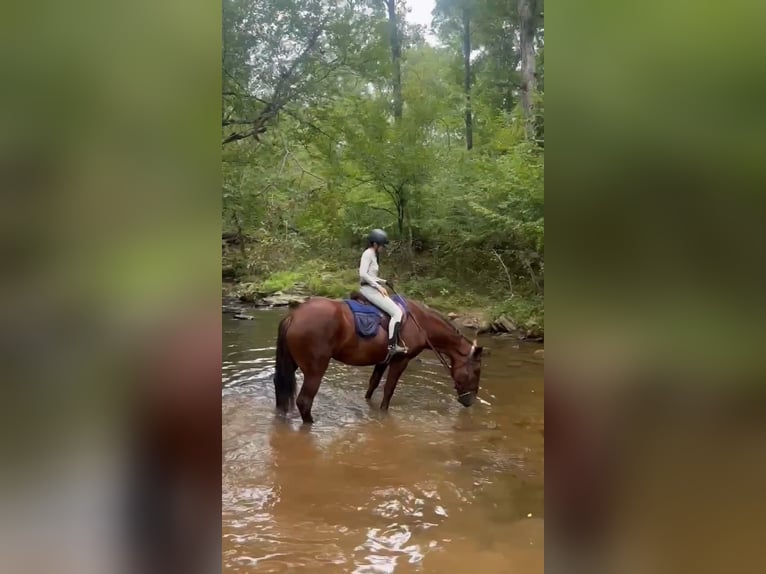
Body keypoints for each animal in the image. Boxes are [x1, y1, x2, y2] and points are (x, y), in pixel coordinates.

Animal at [273, 293, 484, 423]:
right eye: (476, 371)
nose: (470, 401)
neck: (420, 323)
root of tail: (294, 317)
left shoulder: (383, 360)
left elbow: (372, 385)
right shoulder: (400, 361)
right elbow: (388, 390)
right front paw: (383, 415)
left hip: (291, 364)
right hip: (315, 369)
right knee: (304, 401)